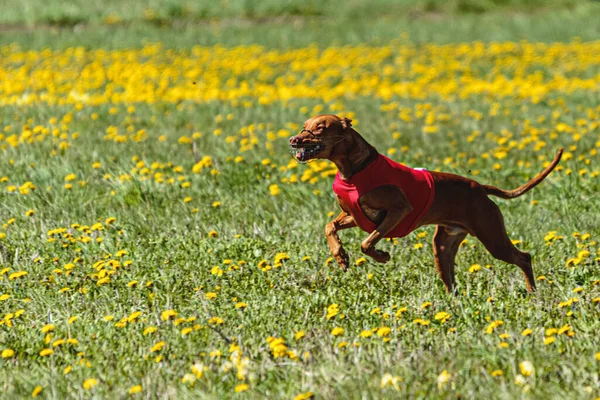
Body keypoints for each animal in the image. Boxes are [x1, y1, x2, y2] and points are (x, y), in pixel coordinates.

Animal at [290, 114, 564, 292]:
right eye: (304, 126)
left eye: (320, 128)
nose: (294, 140)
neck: (355, 170)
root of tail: (479, 187)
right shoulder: (355, 216)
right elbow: (330, 227)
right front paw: (340, 256)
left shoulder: (398, 211)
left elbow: (367, 243)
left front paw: (381, 255)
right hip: (443, 247)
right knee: (451, 281)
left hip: (492, 236)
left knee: (524, 257)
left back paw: (532, 293)